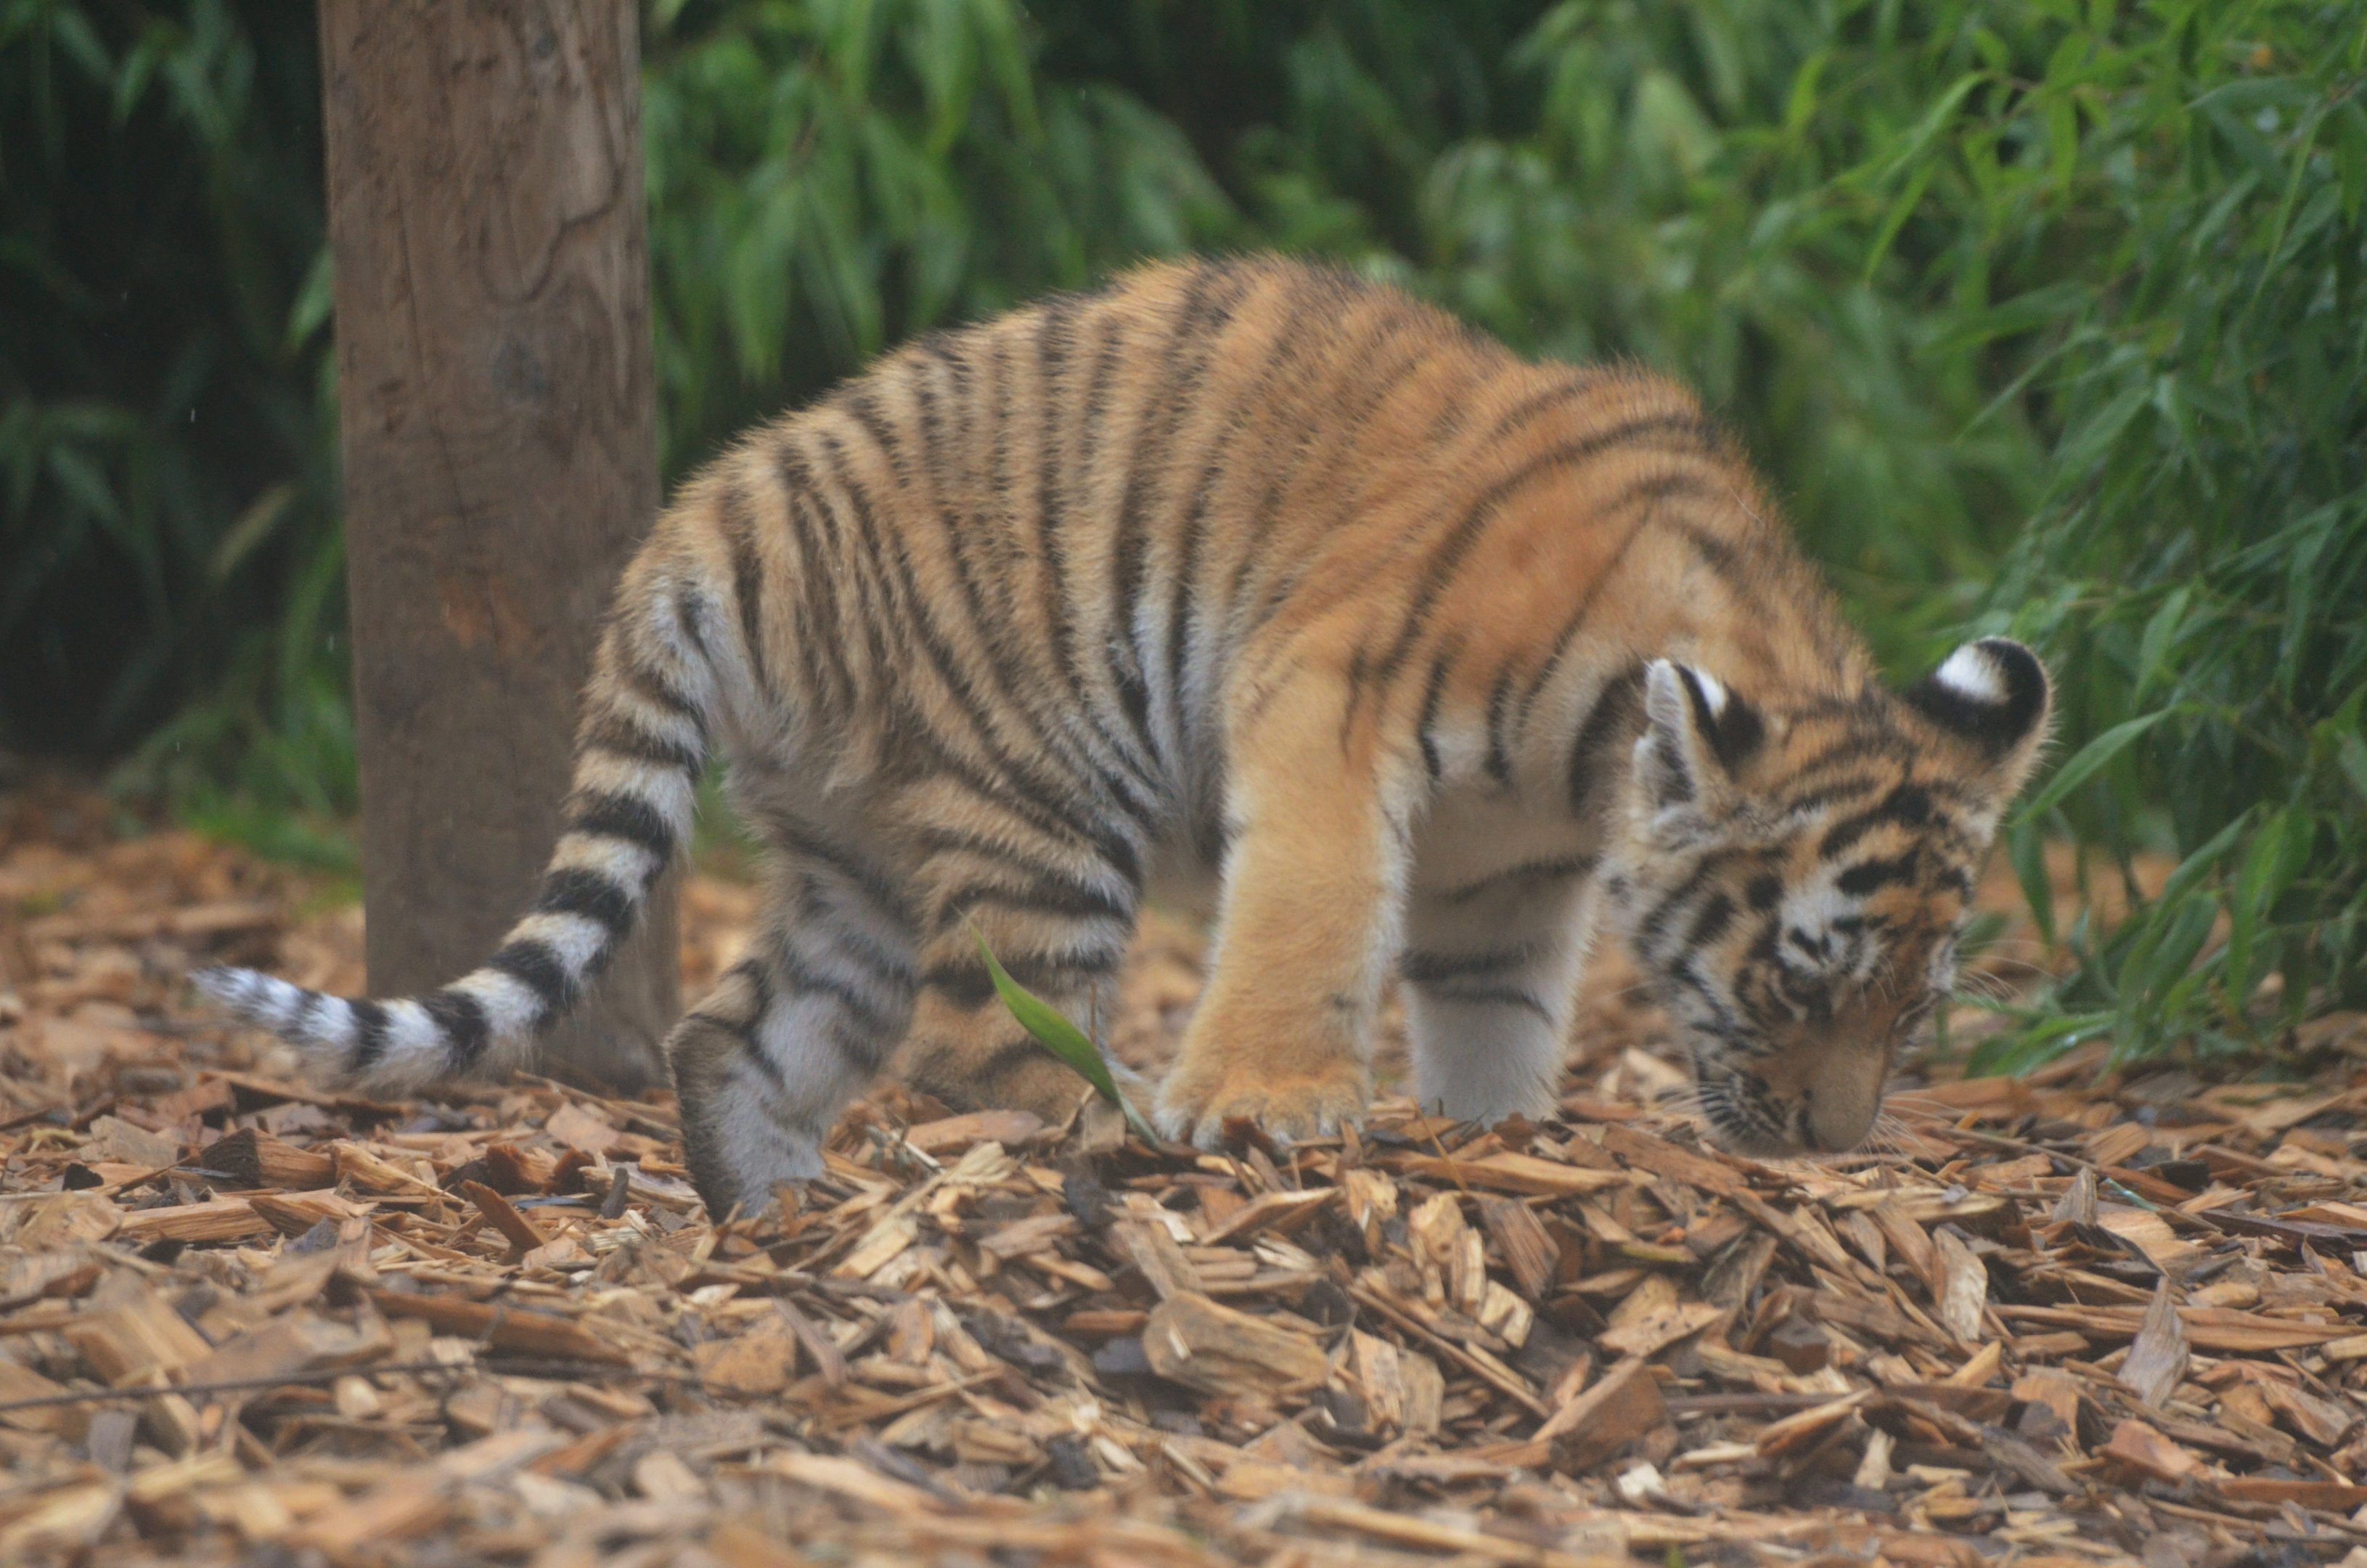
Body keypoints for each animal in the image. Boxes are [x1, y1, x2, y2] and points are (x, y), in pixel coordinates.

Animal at [196, 255, 2051, 1219]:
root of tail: (700, 520)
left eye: (1914, 1010)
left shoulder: (1507, 877)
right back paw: (1126, 1138)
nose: (1830, 1150)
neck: (1590, 765)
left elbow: (1493, 1017)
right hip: (1037, 790)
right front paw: (1270, 1110)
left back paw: (775, 1216)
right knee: (989, 1042)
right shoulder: (1327, 700)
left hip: (858, 856)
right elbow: (1311, 915)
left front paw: (1490, 1143)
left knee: (747, 1025)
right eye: (1801, 985)